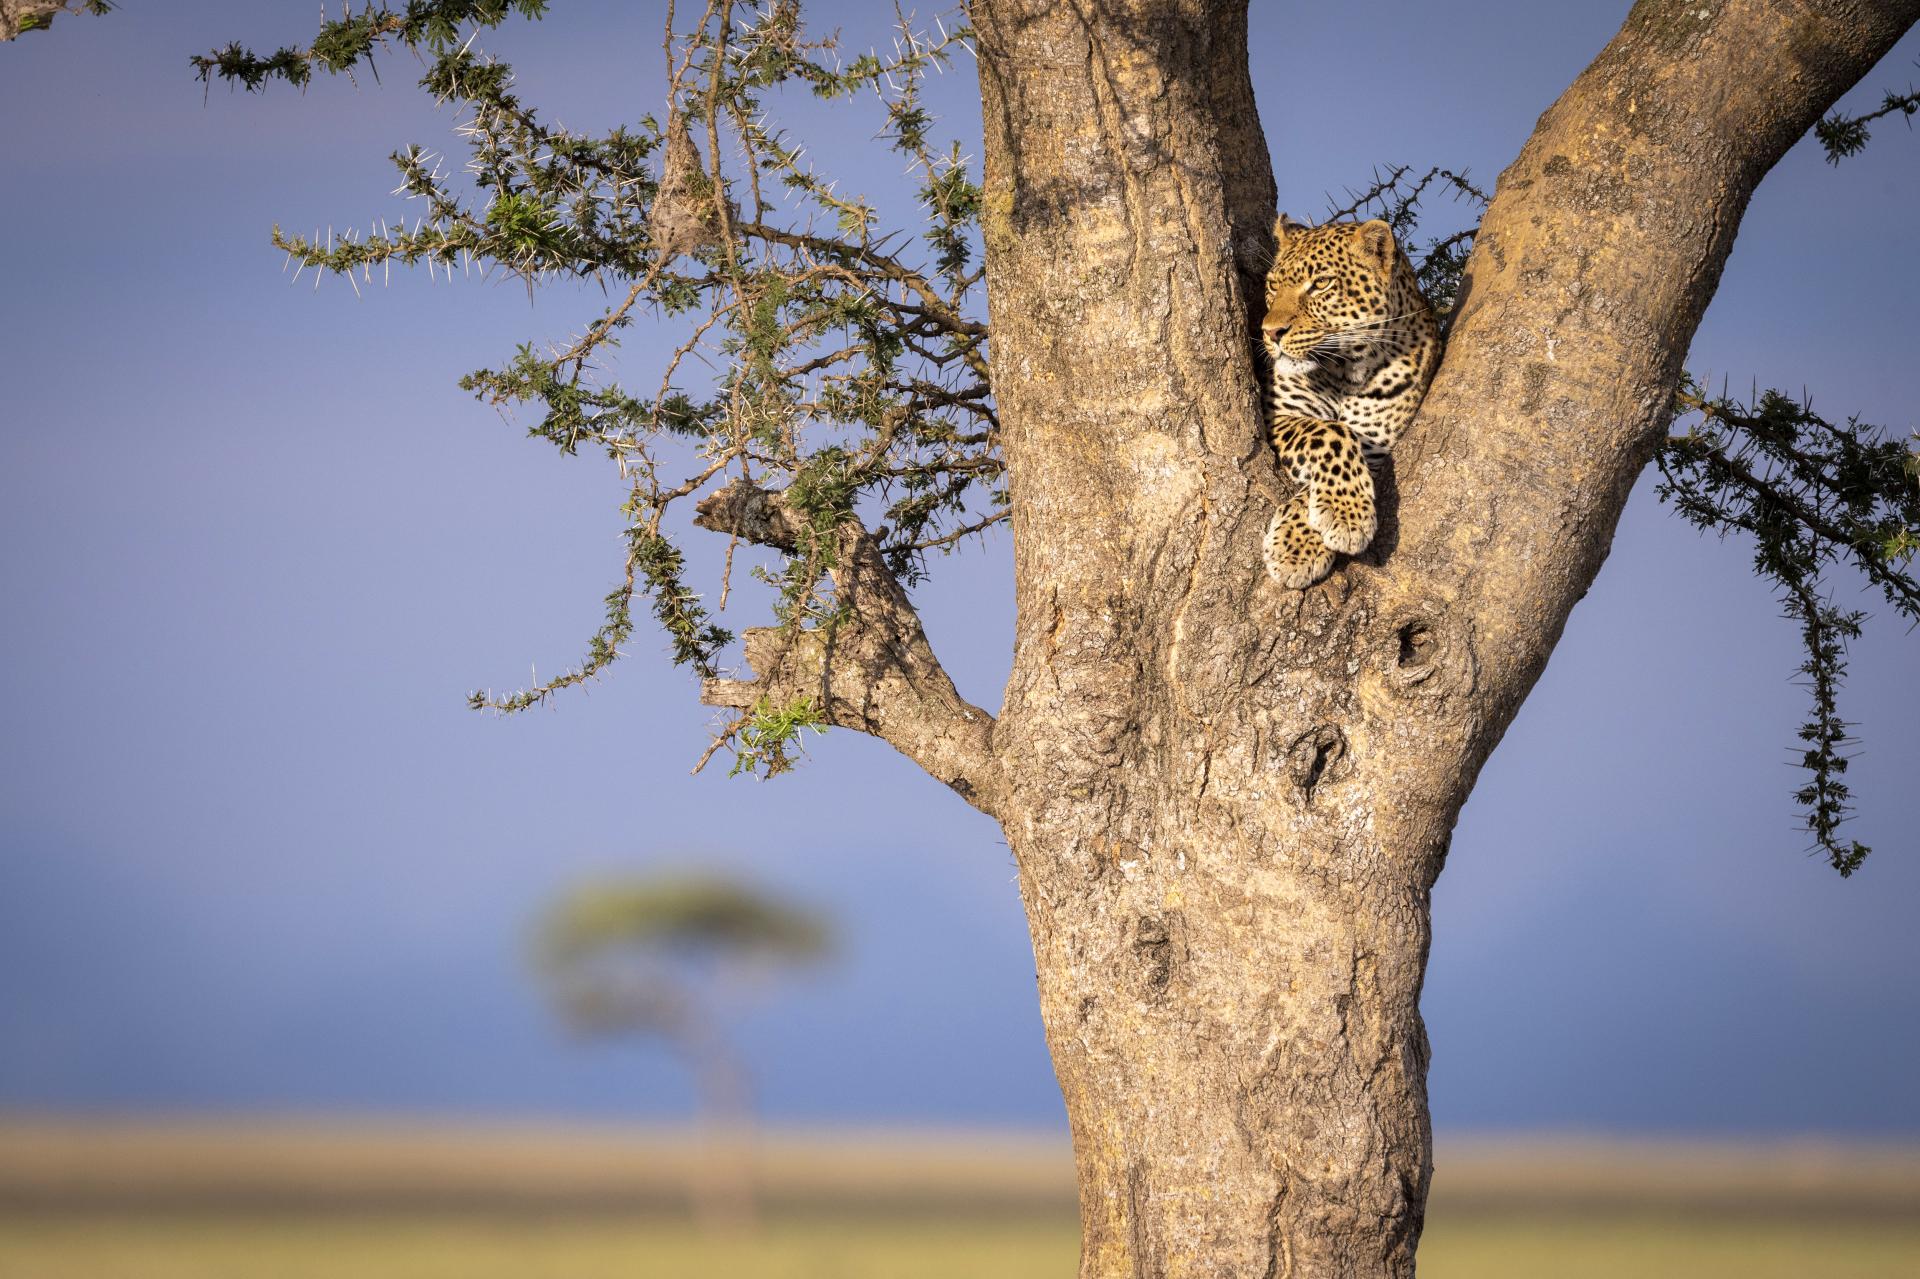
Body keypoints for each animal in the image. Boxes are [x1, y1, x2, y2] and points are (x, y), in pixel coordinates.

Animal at [1259, 213, 1443, 587]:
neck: (1345, 369)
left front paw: (1307, 539)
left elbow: (1333, 457)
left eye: (1321, 284)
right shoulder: (1279, 415)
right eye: (1272, 286)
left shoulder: (1374, 444)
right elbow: (1331, 433)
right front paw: (1335, 524)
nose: (1270, 332)